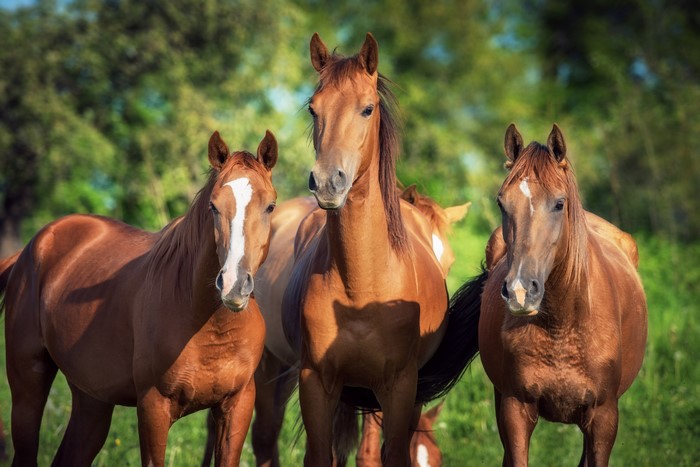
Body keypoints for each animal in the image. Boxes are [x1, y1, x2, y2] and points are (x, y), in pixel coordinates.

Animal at [0, 130, 278, 466]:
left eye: (270, 206)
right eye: (213, 206)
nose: (234, 286)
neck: (210, 326)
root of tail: (31, 248)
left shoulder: (237, 407)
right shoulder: (153, 408)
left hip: (92, 401)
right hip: (27, 389)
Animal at [475, 123, 647, 466]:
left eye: (559, 203)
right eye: (502, 203)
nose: (520, 291)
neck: (562, 324)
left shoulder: (603, 417)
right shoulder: (515, 409)